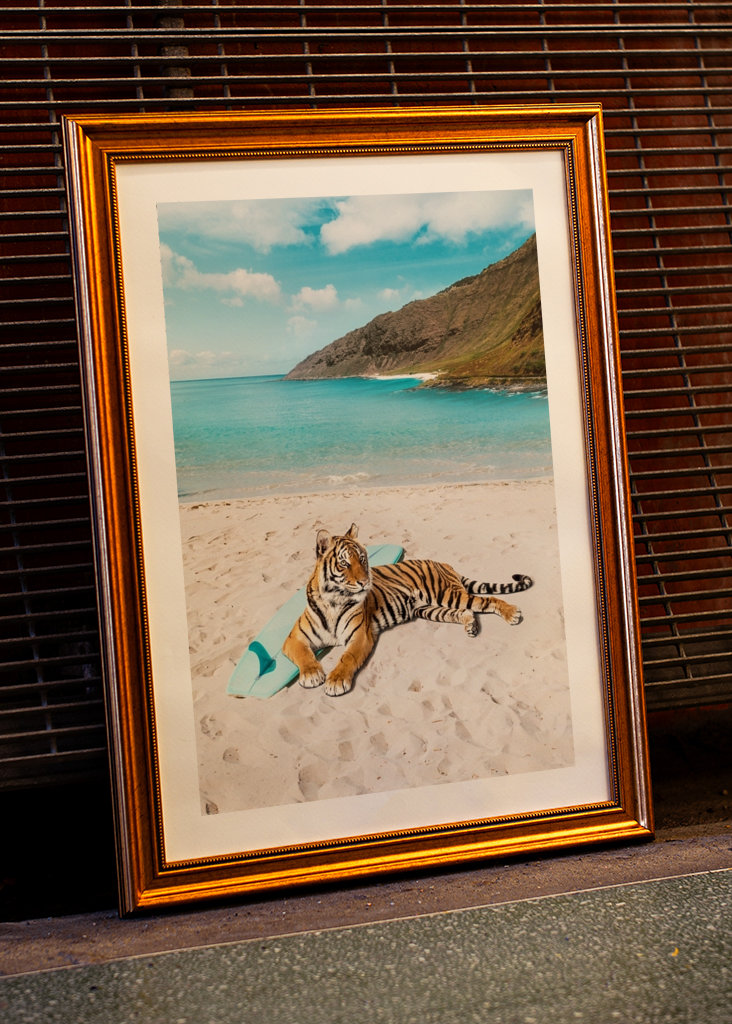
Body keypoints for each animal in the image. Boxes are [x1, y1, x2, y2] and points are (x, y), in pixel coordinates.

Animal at [282, 524, 533, 697]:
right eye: (344, 563)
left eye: (362, 559)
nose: (365, 582)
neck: (334, 600)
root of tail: (444, 563)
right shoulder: (294, 638)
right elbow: (304, 655)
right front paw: (312, 674)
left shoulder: (360, 636)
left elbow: (347, 657)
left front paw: (335, 681)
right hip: (430, 608)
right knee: (465, 612)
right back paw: (471, 626)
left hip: (447, 595)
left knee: (487, 599)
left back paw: (512, 614)